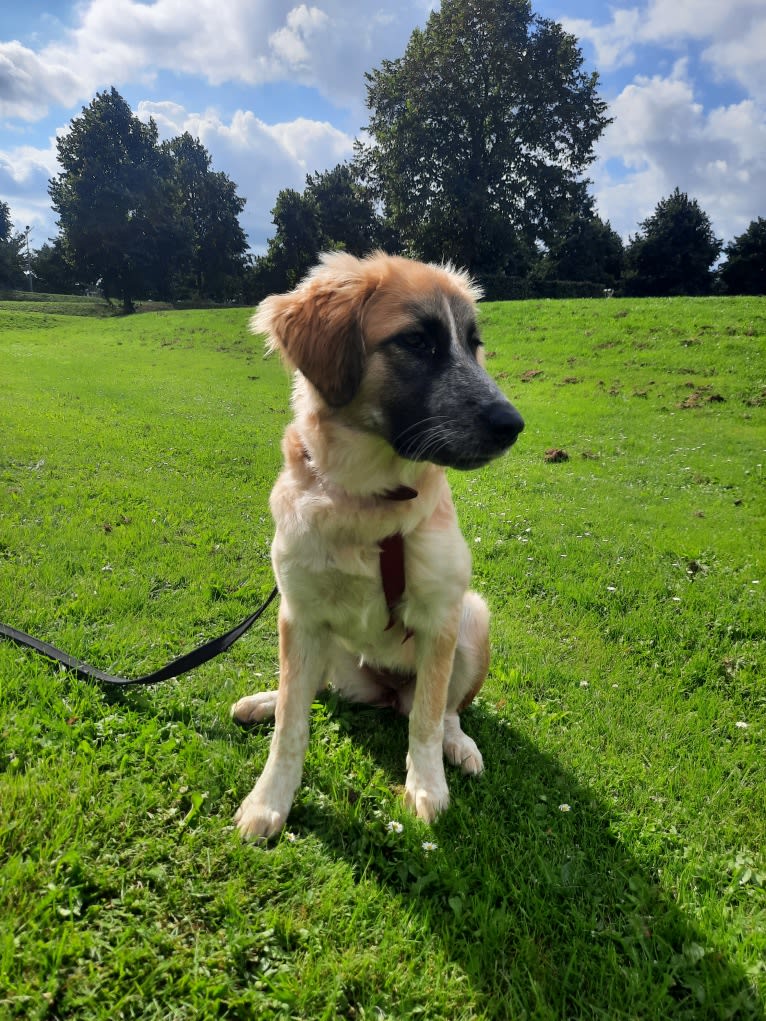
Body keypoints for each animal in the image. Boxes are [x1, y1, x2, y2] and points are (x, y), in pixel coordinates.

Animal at [230, 253, 527, 837]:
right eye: (416, 341)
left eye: (473, 343)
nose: (513, 425)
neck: (369, 499)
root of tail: (388, 691)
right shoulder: (298, 612)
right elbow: (292, 724)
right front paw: (269, 800)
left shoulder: (439, 617)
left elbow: (427, 720)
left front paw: (428, 786)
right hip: (333, 654)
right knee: (312, 690)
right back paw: (265, 700)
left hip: (472, 619)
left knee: (442, 710)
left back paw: (459, 745)